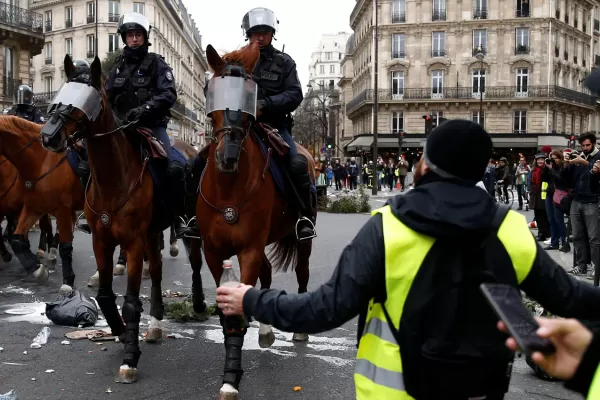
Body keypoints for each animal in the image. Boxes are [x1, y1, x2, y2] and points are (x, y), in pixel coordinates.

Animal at [0, 115, 83, 290]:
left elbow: (65, 246)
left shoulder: (62, 209)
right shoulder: (33, 206)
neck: (41, 161)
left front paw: (67, 281)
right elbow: (17, 239)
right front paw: (37, 269)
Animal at [39, 55, 205, 384]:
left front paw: (130, 357)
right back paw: (155, 323)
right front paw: (117, 329)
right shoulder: (102, 241)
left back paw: (198, 302)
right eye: (61, 91)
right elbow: (105, 294)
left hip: (185, 224)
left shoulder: (132, 243)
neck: (114, 177)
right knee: (156, 271)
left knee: (194, 263)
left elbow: (129, 302)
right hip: (152, 233)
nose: (48, 136)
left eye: (83, 100)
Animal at [199, 42, 316, 398]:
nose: (227, 157)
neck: (229, 189)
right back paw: (264, 331)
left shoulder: (248, 248)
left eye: (250, 99)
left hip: (301, 238)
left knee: (302, 271)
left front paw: (230, 379)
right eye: (211, 91)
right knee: (266, 274)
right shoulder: (214, 252)